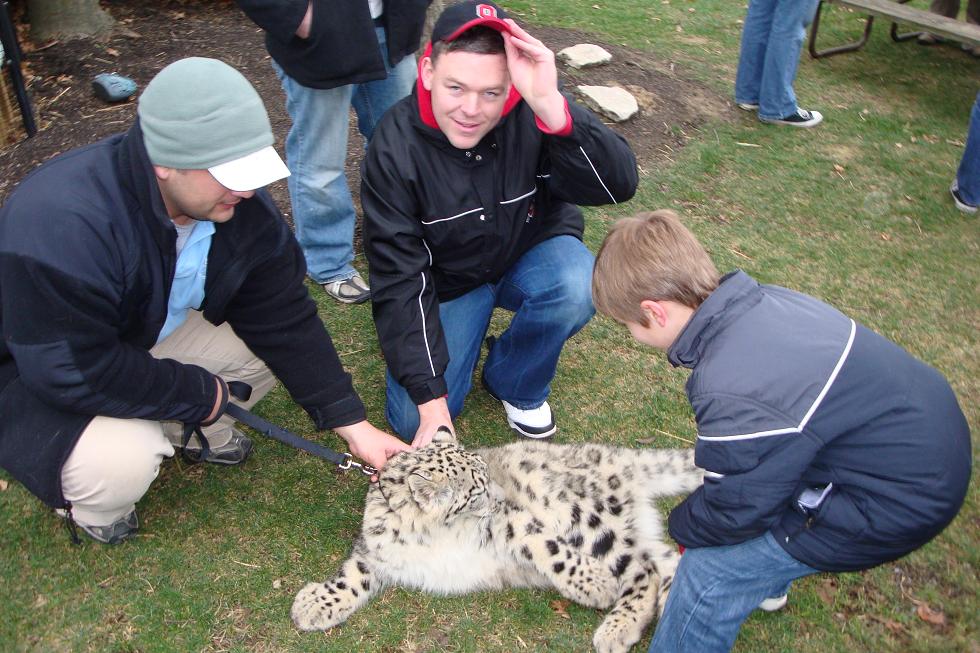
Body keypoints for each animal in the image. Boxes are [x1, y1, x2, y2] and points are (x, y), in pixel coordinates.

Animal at [291, 428, 703, 653]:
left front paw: (594, 583)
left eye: (488, 481)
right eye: (476, 492)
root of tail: (620, 459)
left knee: (642, 571)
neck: (429, 535)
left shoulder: (510, 523)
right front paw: (313, 605)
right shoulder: (377, 551)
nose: (501, 497)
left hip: (589, 519)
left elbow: (547, 547)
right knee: (666, 562)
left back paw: (616, 627)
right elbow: (352, 576)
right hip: (632, 531)